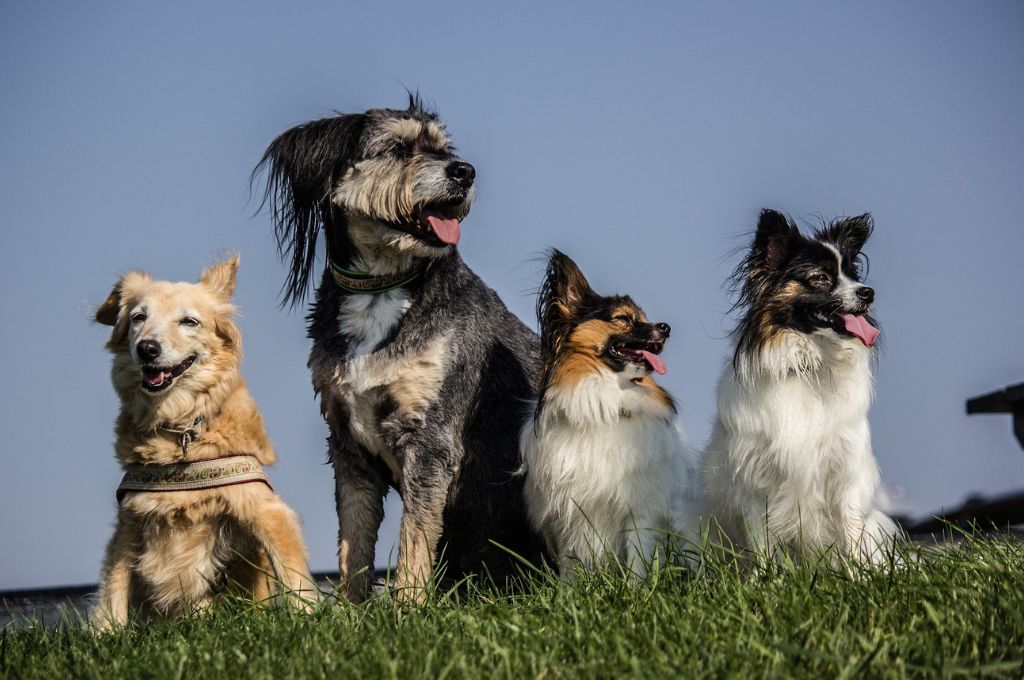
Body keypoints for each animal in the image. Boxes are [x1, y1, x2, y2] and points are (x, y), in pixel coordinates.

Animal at [91, 258, 315, 630]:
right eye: (138, 317)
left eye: (189, 321)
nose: (147, 348)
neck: (180, 428)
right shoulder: (130, 523)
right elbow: (113, 591)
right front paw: (106, 634)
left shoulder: (264, 509)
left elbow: (293, 574)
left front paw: (311, 619)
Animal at [253, 95, 544, 602]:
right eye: (396, 148)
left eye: (444, 149)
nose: (464, 171)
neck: (382, 290)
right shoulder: (347, 443)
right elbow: (353, 540)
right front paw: (351, 608)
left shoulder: (430, 438)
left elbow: (415, 535)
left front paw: (408, 605)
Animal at [520, 251, 696, 577]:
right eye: (624, 319)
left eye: (645, 318)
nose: (666, 327)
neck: (607, 407)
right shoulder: (567, 513)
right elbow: (570, 567)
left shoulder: (640, 511)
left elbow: (638, 563)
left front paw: (639, 589)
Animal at [700, 210, 901, 561]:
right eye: (820, 277)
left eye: (852, 275)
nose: (869, 292)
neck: (809, 364)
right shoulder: (755, 480)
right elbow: (762, 545)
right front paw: (767, 576)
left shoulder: (846, 473)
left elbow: (851, 534)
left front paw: (857, 573)